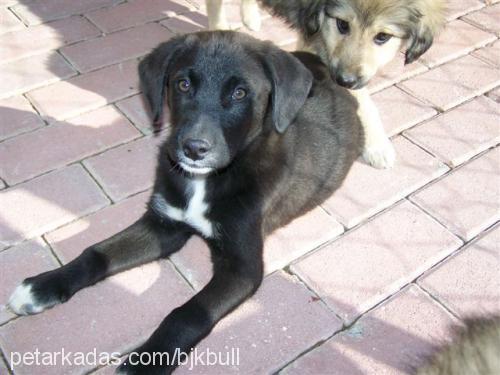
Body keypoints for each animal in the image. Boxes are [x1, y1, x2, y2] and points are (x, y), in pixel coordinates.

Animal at [6, 32, 360, 375]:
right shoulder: (164, 225)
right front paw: (44, 286)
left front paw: (145, 362)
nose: (194, 148)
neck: (207, 181)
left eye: (241, 93)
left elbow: (188, 313)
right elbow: (97, 252)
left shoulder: (242, 266)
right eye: (183, 84)